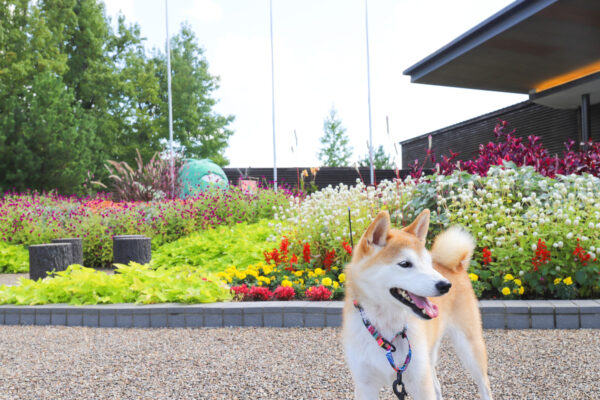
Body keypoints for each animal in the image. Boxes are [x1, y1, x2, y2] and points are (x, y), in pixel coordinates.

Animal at [342, 211, 492, 398]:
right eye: (405, 264)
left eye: (427, 263)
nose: (446, 285)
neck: (389, 330)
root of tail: (455, 266)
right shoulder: (365, 385)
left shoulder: (420, 381)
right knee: (437, 385)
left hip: (469, 347)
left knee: (484, 386)